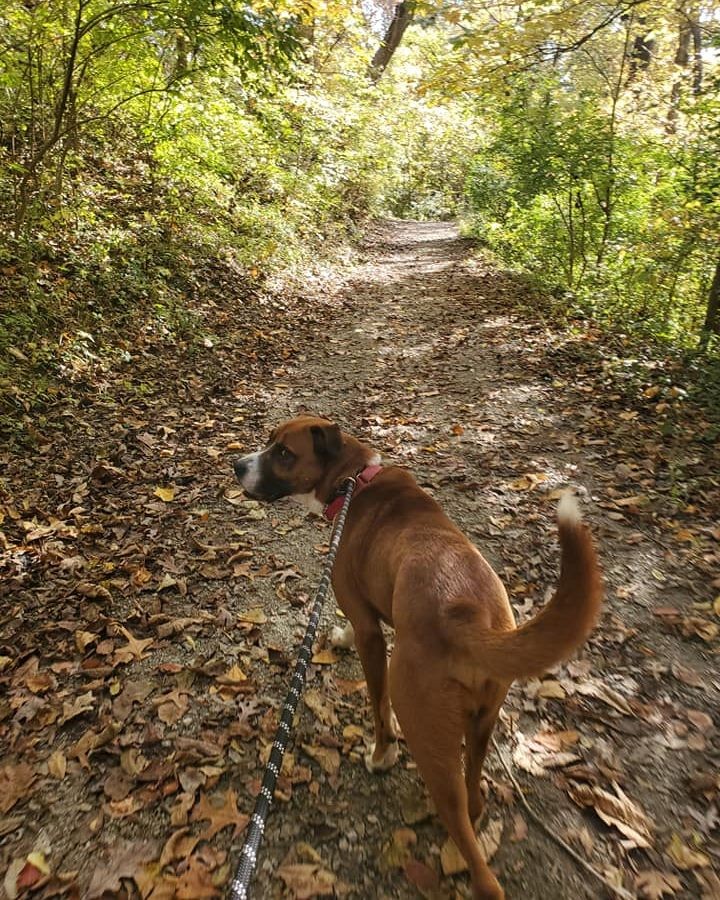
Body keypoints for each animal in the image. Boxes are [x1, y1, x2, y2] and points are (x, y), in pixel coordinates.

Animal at [236, 418, 600, 896]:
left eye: (283, 453)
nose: (236, 465)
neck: (355, 481)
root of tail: (468, 619)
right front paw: (339, 636)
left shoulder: (371, 632)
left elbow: (377, 703)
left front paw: (381, 755)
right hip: (481, 724)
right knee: (473, 793)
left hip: (425, 728)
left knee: (478, 859)